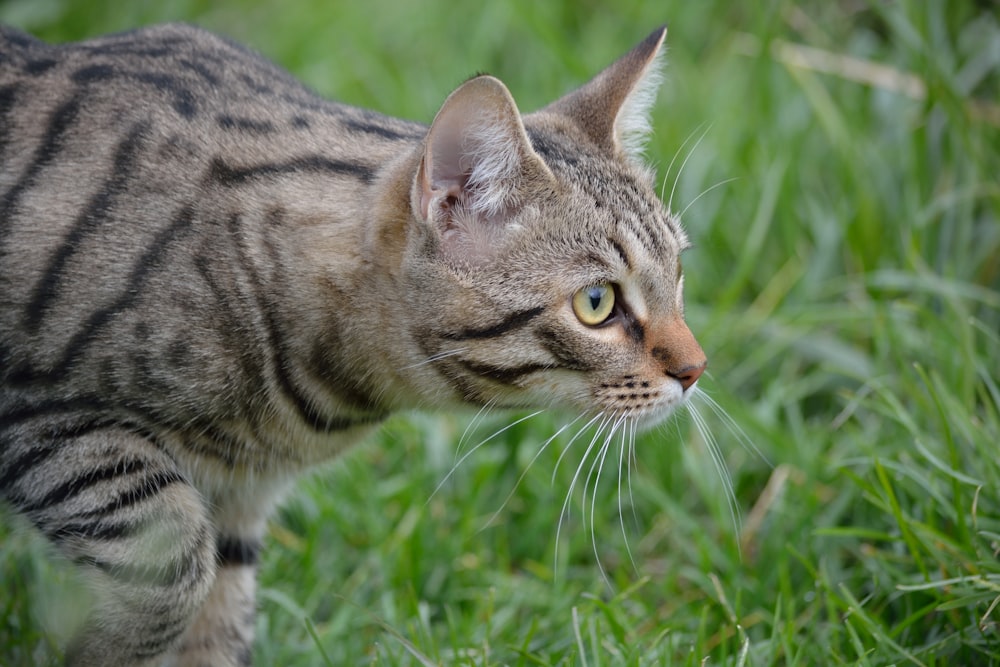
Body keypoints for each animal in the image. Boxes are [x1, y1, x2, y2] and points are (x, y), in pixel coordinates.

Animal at [0, 20, 704, 667]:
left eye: (678, 270)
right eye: (597, 304)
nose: (696, 369)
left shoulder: (237, 500)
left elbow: (214, 625)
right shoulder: (44, 420)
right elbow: (170, 568)